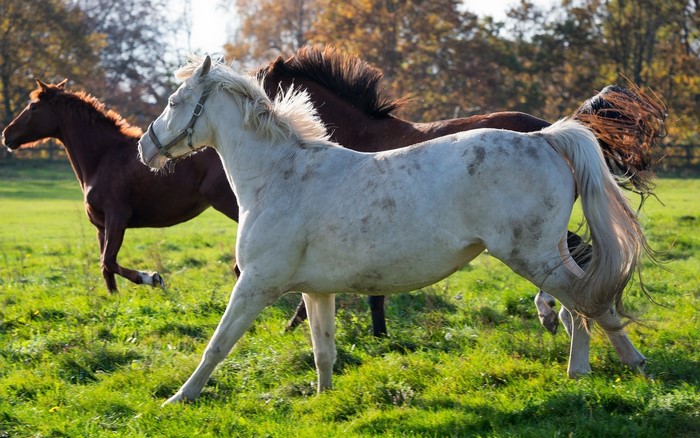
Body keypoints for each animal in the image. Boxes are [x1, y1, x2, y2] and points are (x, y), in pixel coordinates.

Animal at [1, 79, 238, 292]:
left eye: (33, 106)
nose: (6, 135)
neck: (102, 158)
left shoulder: (118, 216)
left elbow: (108, 261)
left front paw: (152, 278)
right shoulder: (101, 227)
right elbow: (105, 269)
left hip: (229, 203)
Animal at [259, 46, 667, 337]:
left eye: (261, 85)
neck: (361, 135)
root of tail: (552, 131)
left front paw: (304, 326)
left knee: (577, 255)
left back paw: (553, 314)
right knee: (579, 254)